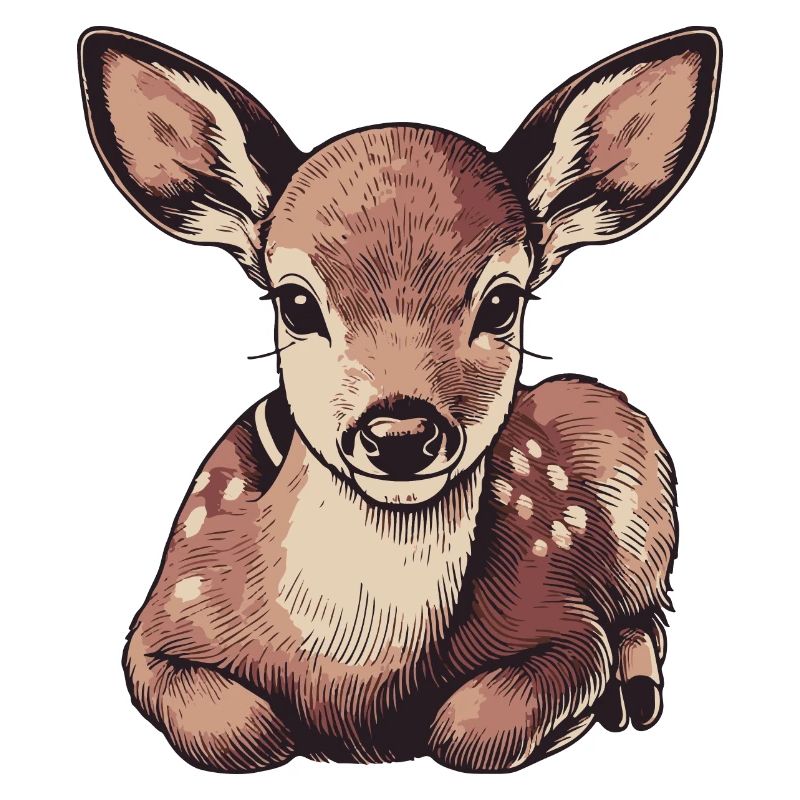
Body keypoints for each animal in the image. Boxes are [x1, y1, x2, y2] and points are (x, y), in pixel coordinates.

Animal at [78, 25, 720, 773]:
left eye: (502, 301)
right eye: (295, 302)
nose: (401, 434)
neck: (353, 675)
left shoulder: (562, 617)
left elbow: (474, 728)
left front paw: (575, 718)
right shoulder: (156, 623)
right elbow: (238, 731)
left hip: (640, 477)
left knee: (649, 609)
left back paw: (634, 691)